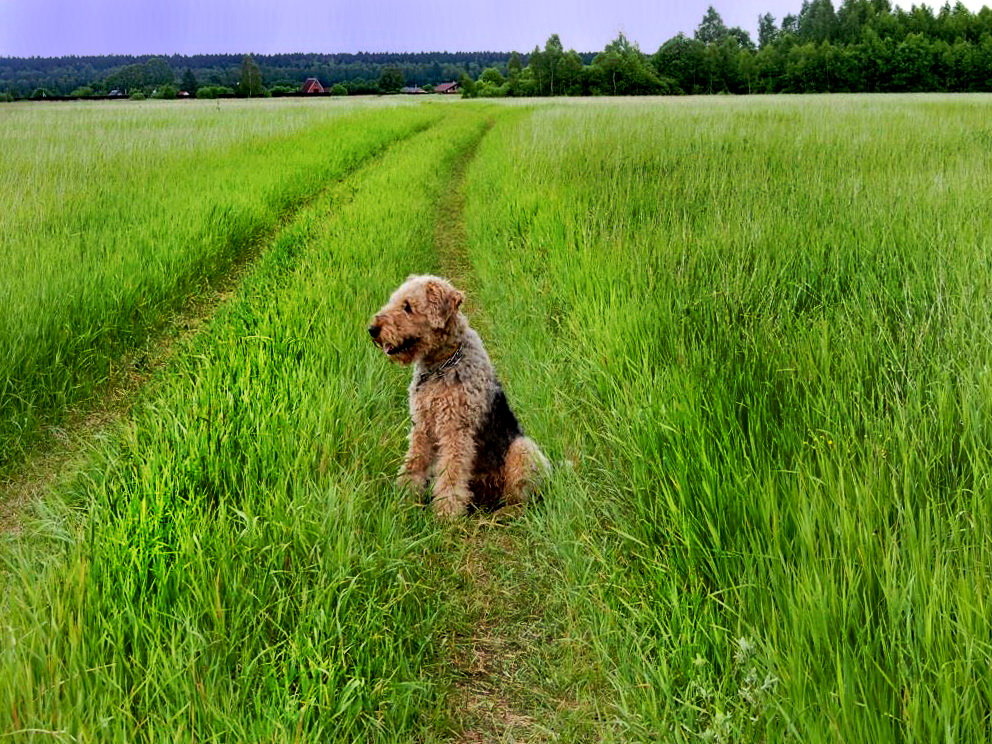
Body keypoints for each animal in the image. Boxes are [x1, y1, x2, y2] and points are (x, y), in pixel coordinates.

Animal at [368, 274, 552, 516]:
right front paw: (405, 498)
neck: (441, 366)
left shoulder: (455, 429)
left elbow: (451, 472)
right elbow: (414, 463)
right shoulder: (422, 426)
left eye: (407, 306)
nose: (372, 329)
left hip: (522, 448)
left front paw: (447, 512)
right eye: (394, 300)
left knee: (520, 497)